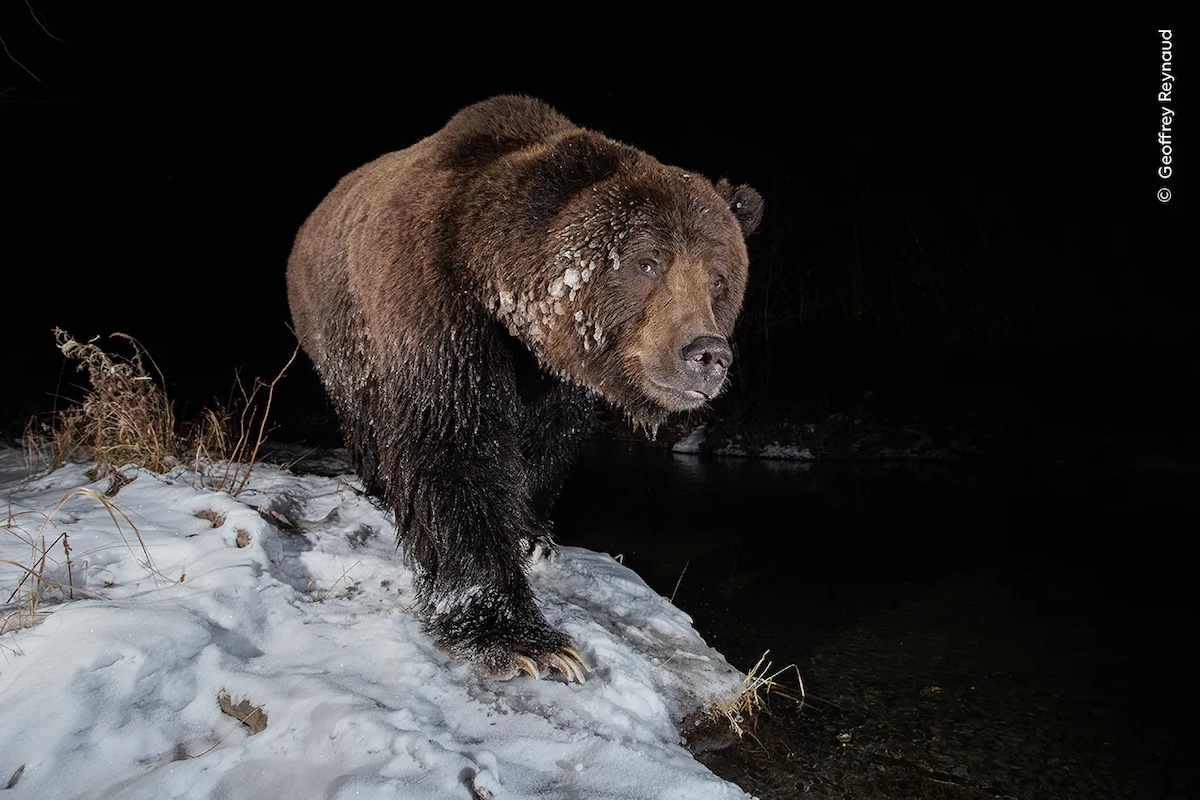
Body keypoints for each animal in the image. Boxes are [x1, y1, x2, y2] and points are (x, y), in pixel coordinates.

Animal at [285, 94, 758, 681]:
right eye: (648, 261)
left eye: (718, 277)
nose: (706, 354)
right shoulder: (434, 305)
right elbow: (453, 446)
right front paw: (524, 640)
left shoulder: (555, 370)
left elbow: (545, 443)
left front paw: (532, 536)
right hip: (339, 330)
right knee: (364, 416)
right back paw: (379, 488)